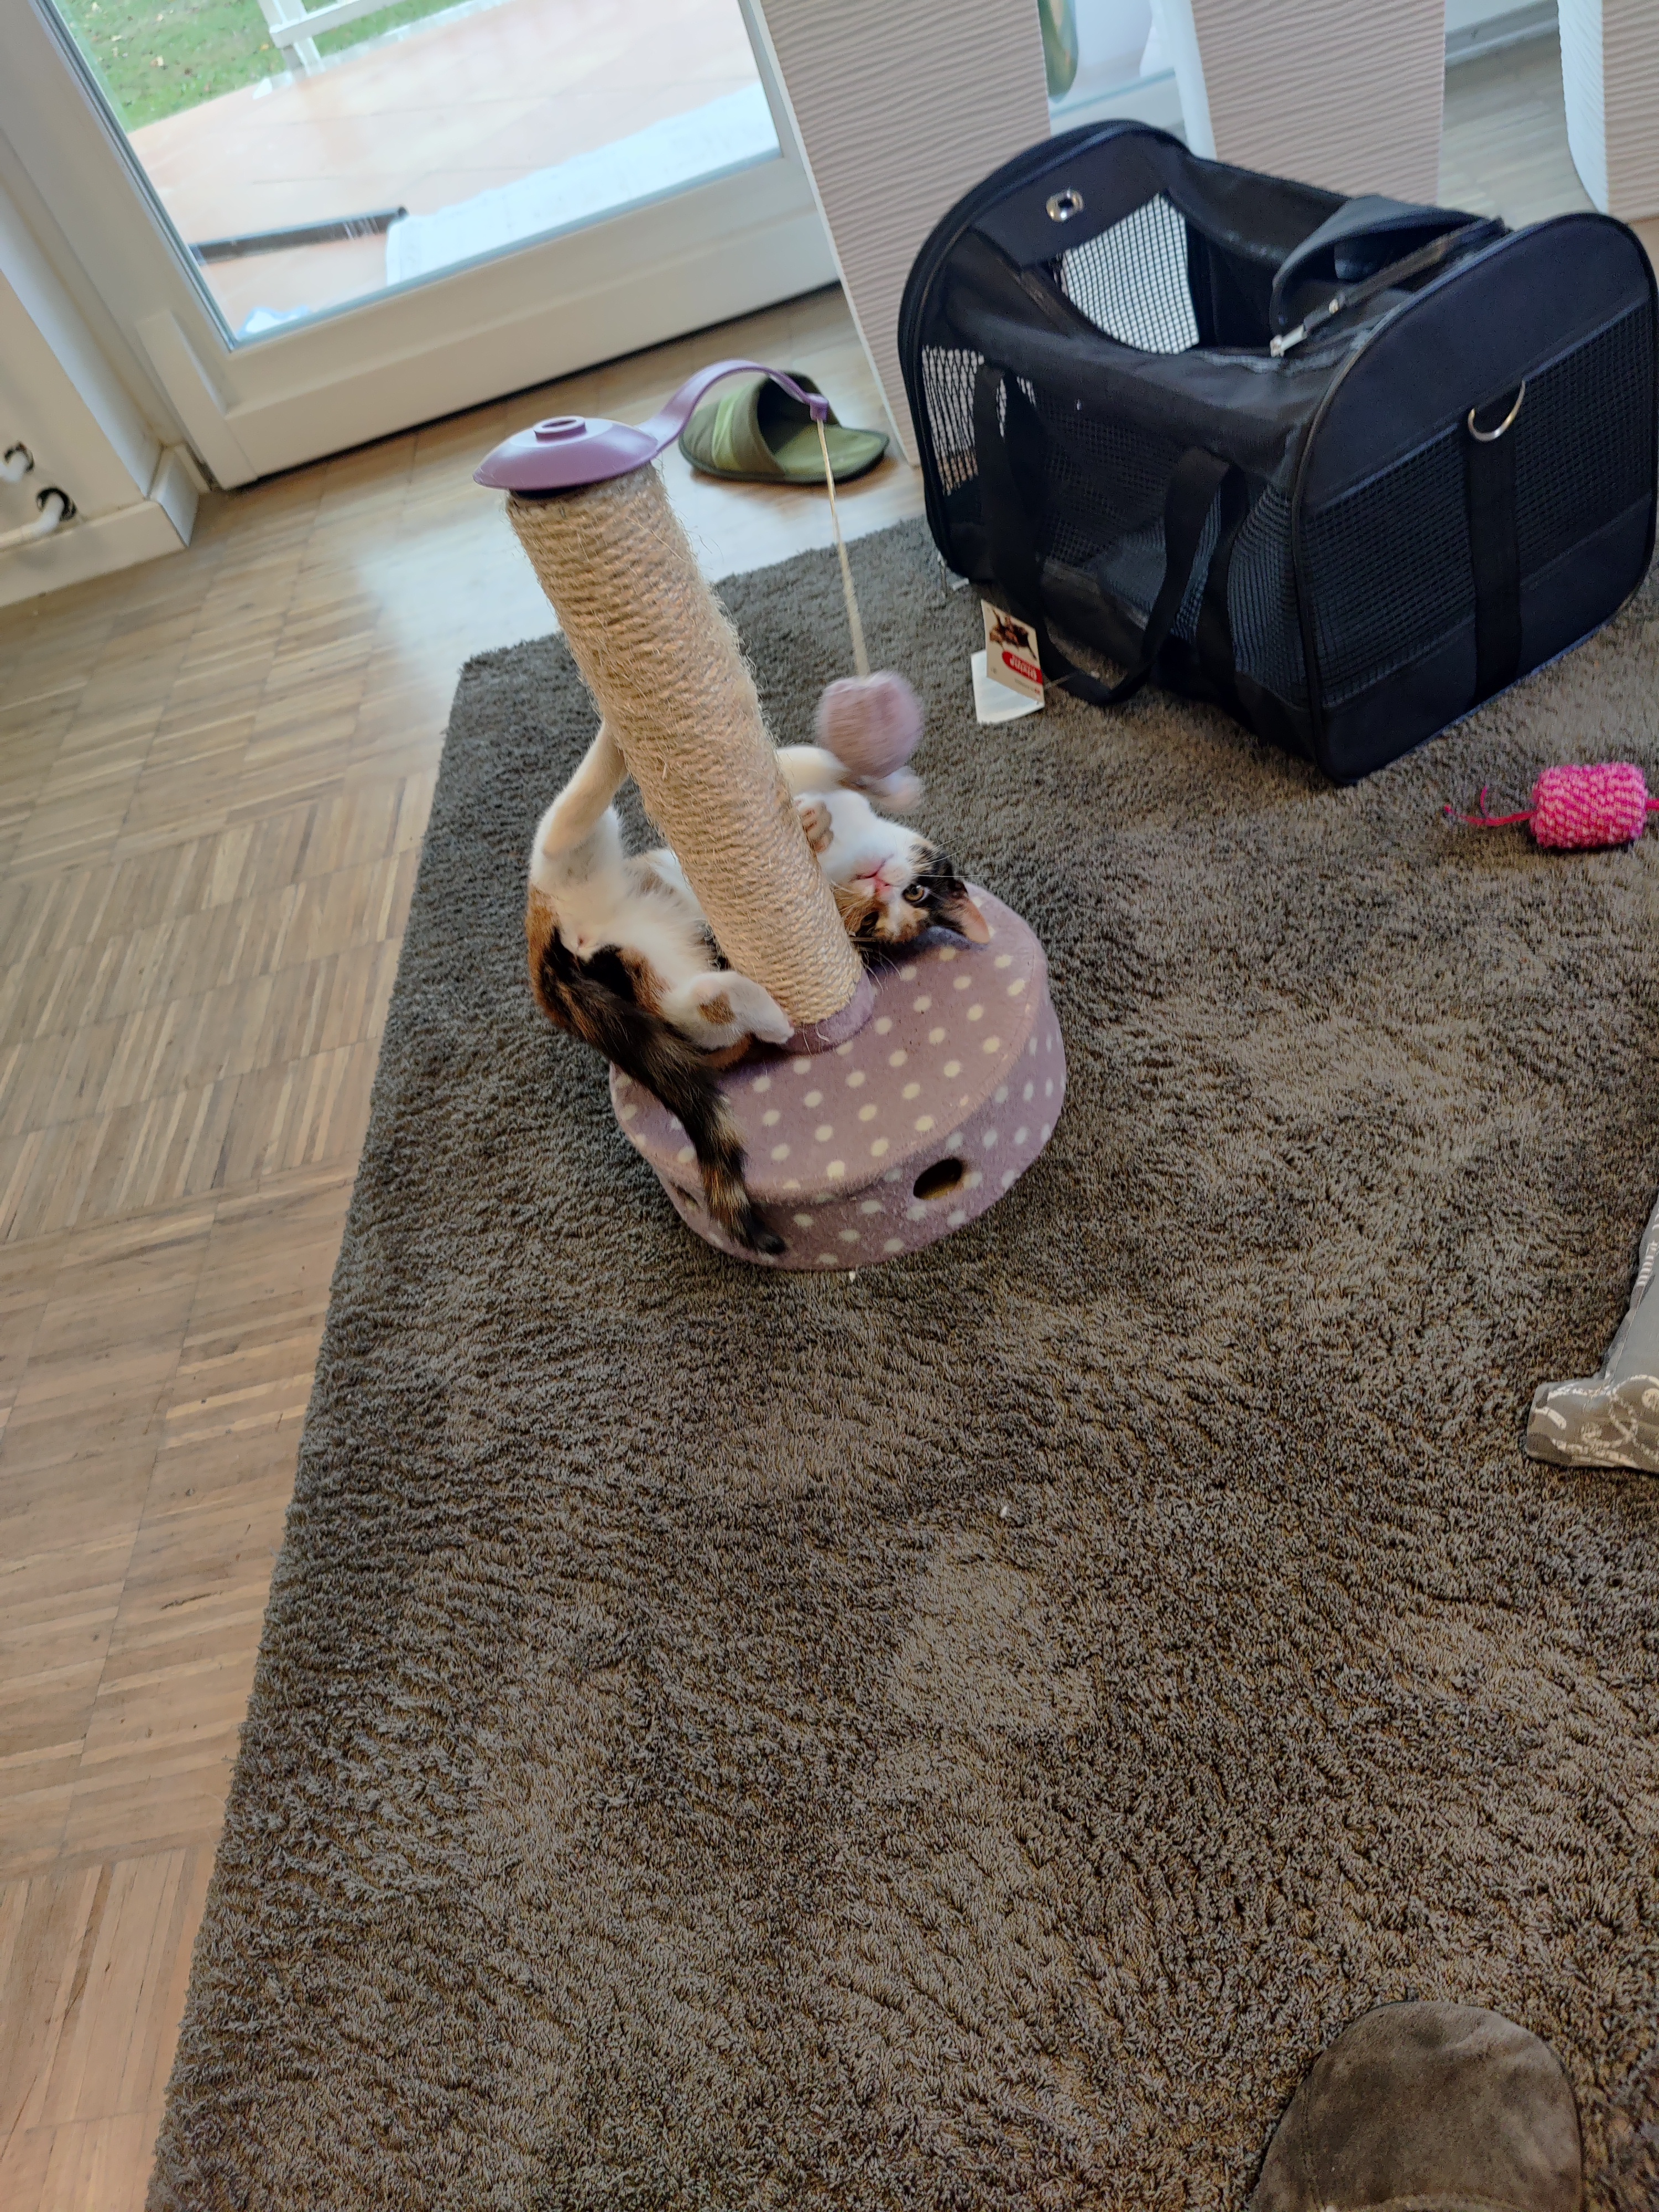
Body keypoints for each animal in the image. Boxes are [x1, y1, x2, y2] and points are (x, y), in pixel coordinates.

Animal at [525, 727, 988, 1253]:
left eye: (883, 915)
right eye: (915, 894)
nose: (879, 884)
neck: (852, 850)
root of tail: (561, 975)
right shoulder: (817, 786)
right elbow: (819, 764)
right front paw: (875, 791)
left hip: (642, 953)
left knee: (693, 1012)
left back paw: (766, 1013)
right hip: (581, 889)